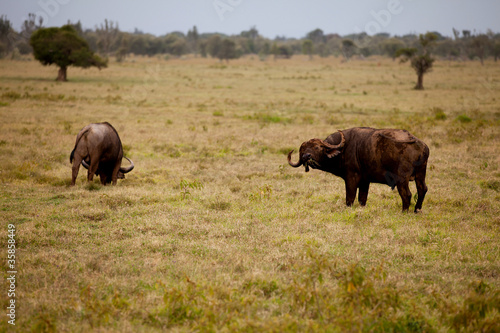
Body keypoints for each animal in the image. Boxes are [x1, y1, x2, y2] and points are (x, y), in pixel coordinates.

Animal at [290, 127, 430, 213]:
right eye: (303, 150)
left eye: (317, 147)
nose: (306, 156)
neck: (342, 149)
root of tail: (419, 144)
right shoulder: (365, 181)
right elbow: (362, 199)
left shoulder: (351, 178)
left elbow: (350, 198)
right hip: (421, 174)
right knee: (422, 189)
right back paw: (417, 210)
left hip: (402, 179)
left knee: (407, 194)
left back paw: (404, 211)